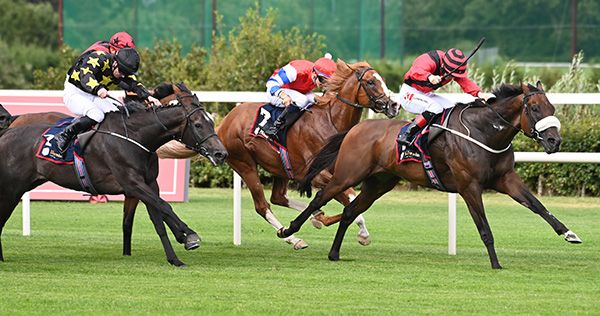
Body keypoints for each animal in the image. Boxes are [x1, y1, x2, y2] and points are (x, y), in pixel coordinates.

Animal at [0, 86, 227, 266]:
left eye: (211, 122)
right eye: (198, 125)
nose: (221, 153)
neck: (135, 136)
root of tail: (6, 133)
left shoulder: (149, 184)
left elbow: (158, 219)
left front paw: (175, 256)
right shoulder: (132, 183)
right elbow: (165, 206)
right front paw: (189, 235)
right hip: (11, 190)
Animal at [280, 82, 580, 270]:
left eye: (552, 109)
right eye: (535, 109)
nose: (554, 141)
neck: (484, 132)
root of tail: (355, 129)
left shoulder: (505, 179)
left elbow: (537, 205)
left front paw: (569, 233)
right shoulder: (469, 186)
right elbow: (484, 228)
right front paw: (496, 263)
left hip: (379, 183)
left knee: (351, 210)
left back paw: (334, 253)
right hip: (348, 173)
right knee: (321, 197)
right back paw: (289, 230)